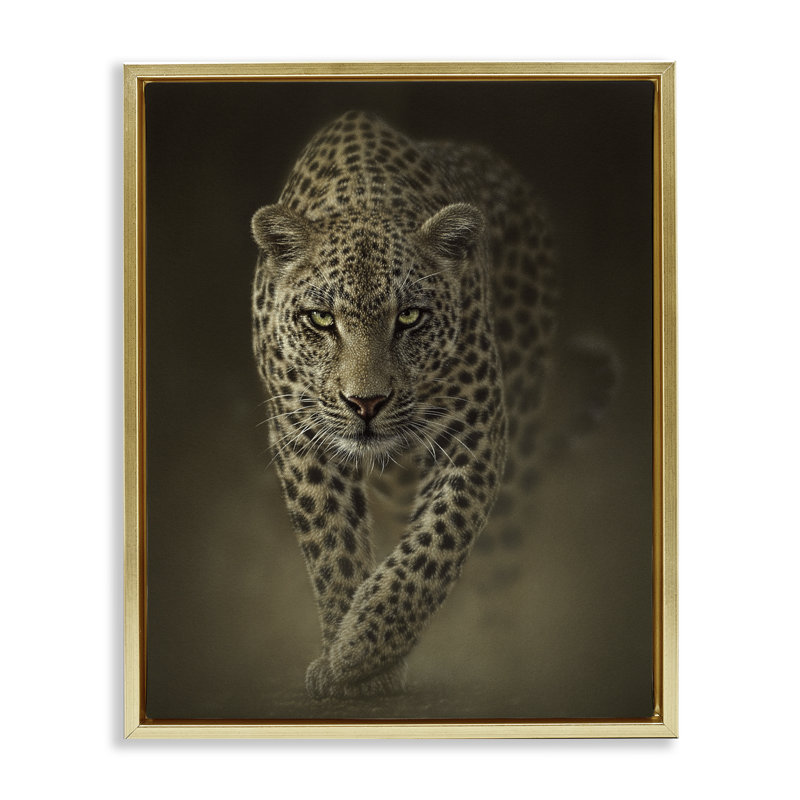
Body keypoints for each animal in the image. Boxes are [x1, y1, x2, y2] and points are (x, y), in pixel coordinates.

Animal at [251, 110, 558, 699]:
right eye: (321, 319)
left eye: (410, 317)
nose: (365, 403)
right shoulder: (299, 433)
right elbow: (332, 544)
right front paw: (351, 661)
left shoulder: (476, 429)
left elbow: (436, 544)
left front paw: (362, 651)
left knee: (504, 551)